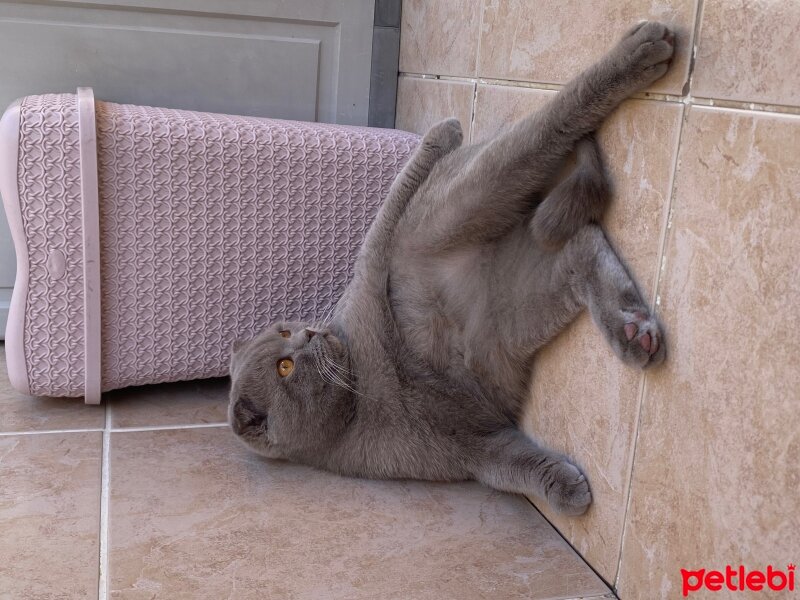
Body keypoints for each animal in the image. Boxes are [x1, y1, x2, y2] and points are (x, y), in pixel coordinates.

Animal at [228, 22, 672, 516]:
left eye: (285, 330)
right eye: (285, 366)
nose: (309, 333)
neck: (356, 405)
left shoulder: (372, 272)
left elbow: (387, 212)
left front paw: (440, 133)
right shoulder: (472, 448)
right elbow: (518, 466)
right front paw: (567, 489)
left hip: (451, 215)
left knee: (545, 144)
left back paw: (642, 48)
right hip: (507, 291)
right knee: (579, 234)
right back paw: (635, 332)